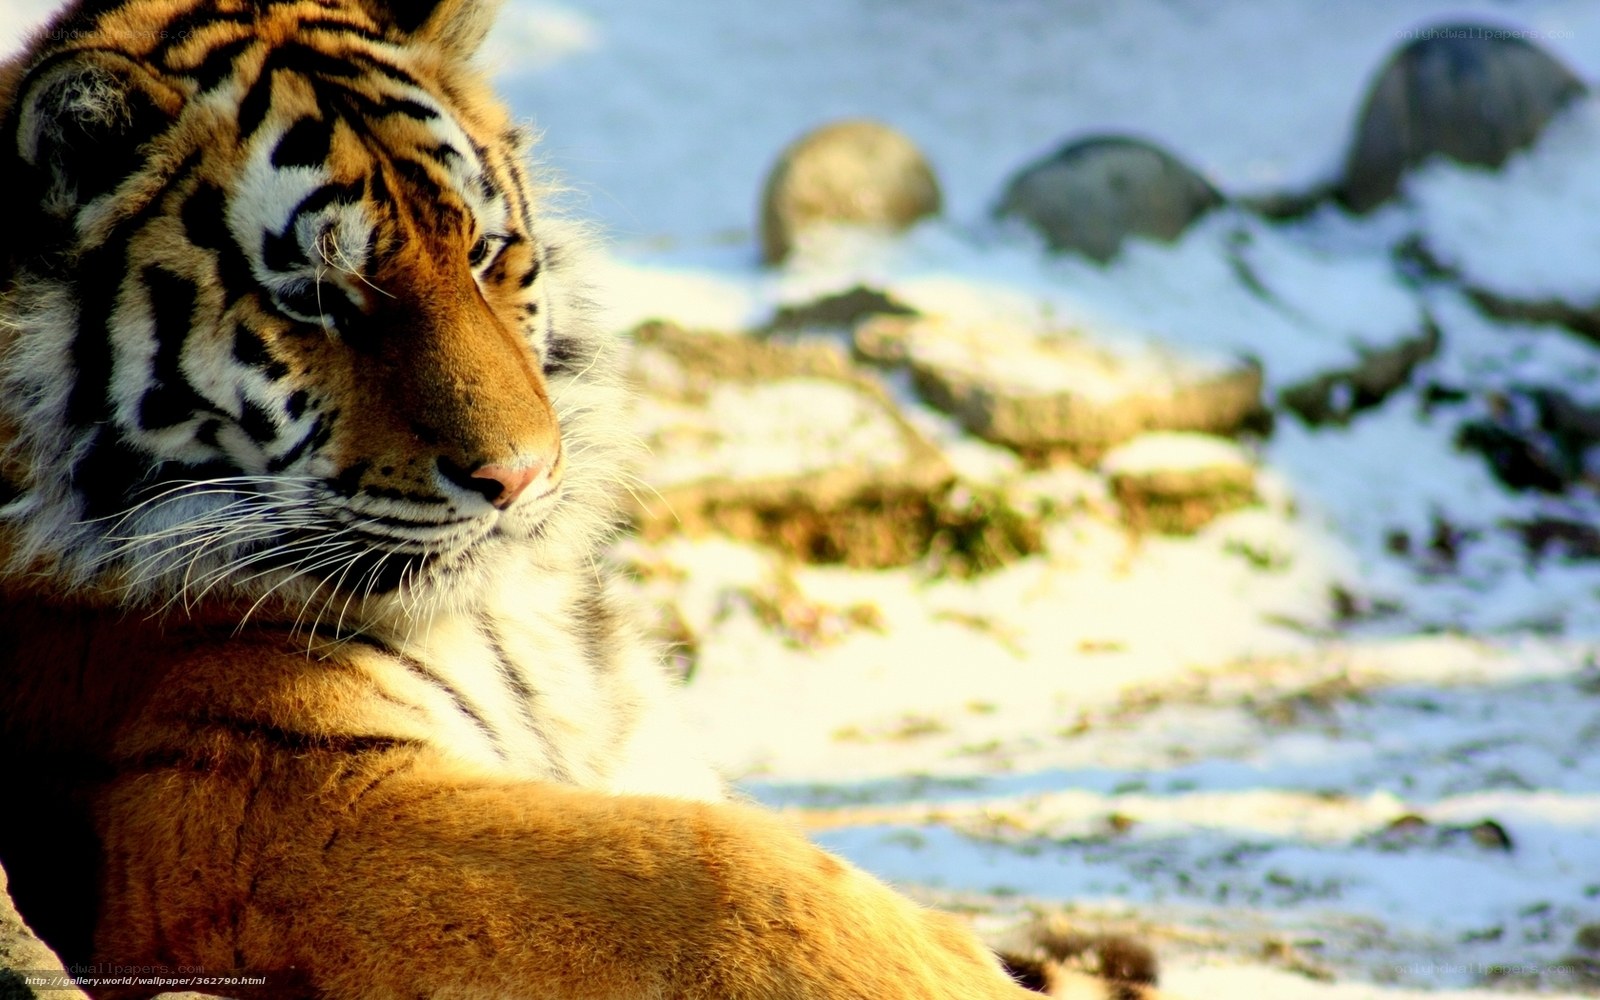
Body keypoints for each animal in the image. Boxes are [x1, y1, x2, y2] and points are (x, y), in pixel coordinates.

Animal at [0, 0, 1167, 997]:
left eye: (480, 250)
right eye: (316, 297)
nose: (520, 475)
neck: (516, 619)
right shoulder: (266, 808)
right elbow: (727, 872)